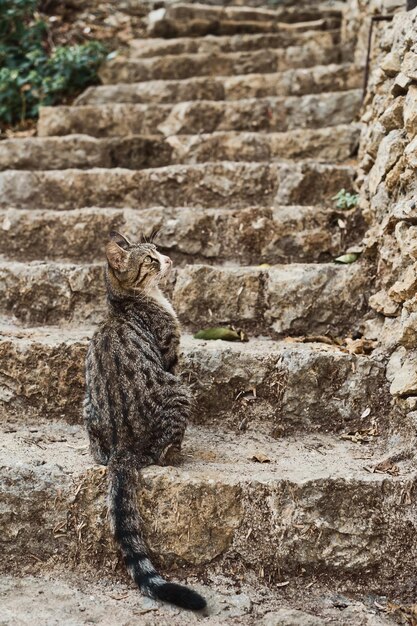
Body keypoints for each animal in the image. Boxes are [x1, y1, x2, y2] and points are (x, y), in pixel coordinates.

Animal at [82, 229, 206, 608]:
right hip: (179, 393)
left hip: (86, 402)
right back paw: (177, 453)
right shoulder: (169, 353)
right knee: (161, 453)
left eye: (158, 249)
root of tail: (122, 441)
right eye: (151, 259)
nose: (168, 259)